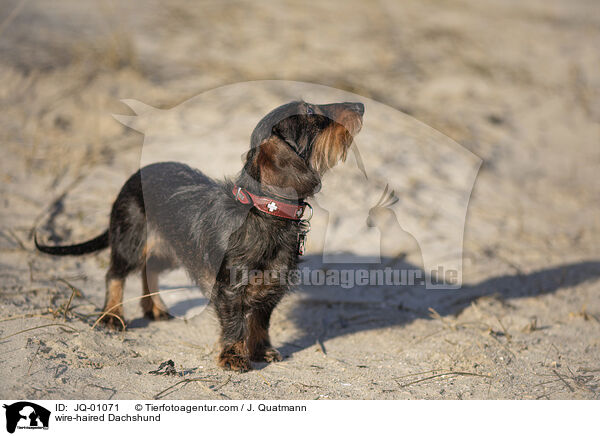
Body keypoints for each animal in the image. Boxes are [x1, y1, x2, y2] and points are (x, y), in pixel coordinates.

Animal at [37, 99, 368, 372]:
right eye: (310, 112)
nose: (361, 105)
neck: (263, 211)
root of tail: (133, 177)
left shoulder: (271, 287)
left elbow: (260, 322)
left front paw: (262, 350)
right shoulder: (230, 289)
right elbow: (235, 323)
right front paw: (234, 356)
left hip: (170, 249)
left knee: (149, 270)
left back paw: (155, 309)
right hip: (132, 240)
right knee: (115, 275)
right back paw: (112, 316)